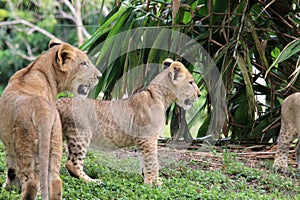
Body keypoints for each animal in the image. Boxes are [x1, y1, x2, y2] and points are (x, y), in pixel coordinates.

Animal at [0, 38, 102, 199]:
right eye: (84, 63)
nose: (100, 76)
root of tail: (43, 113)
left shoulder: (11, 146)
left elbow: (11, 168)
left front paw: (8, 189)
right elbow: (11, 170)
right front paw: (9, 188)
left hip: (26, 147)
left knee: (31, 182)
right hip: (54, 144)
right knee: (55, 180)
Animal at [56, 58, 202, 186]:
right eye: (191, 82)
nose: (200, 94)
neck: (161, 96)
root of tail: (59, 101)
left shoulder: (143, 140)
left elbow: (145, 160)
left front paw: (151, 180)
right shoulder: (147, 137)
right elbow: (152, 161)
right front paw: (152, 183)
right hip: (81, 134)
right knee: (72, 163)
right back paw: (92, 181)